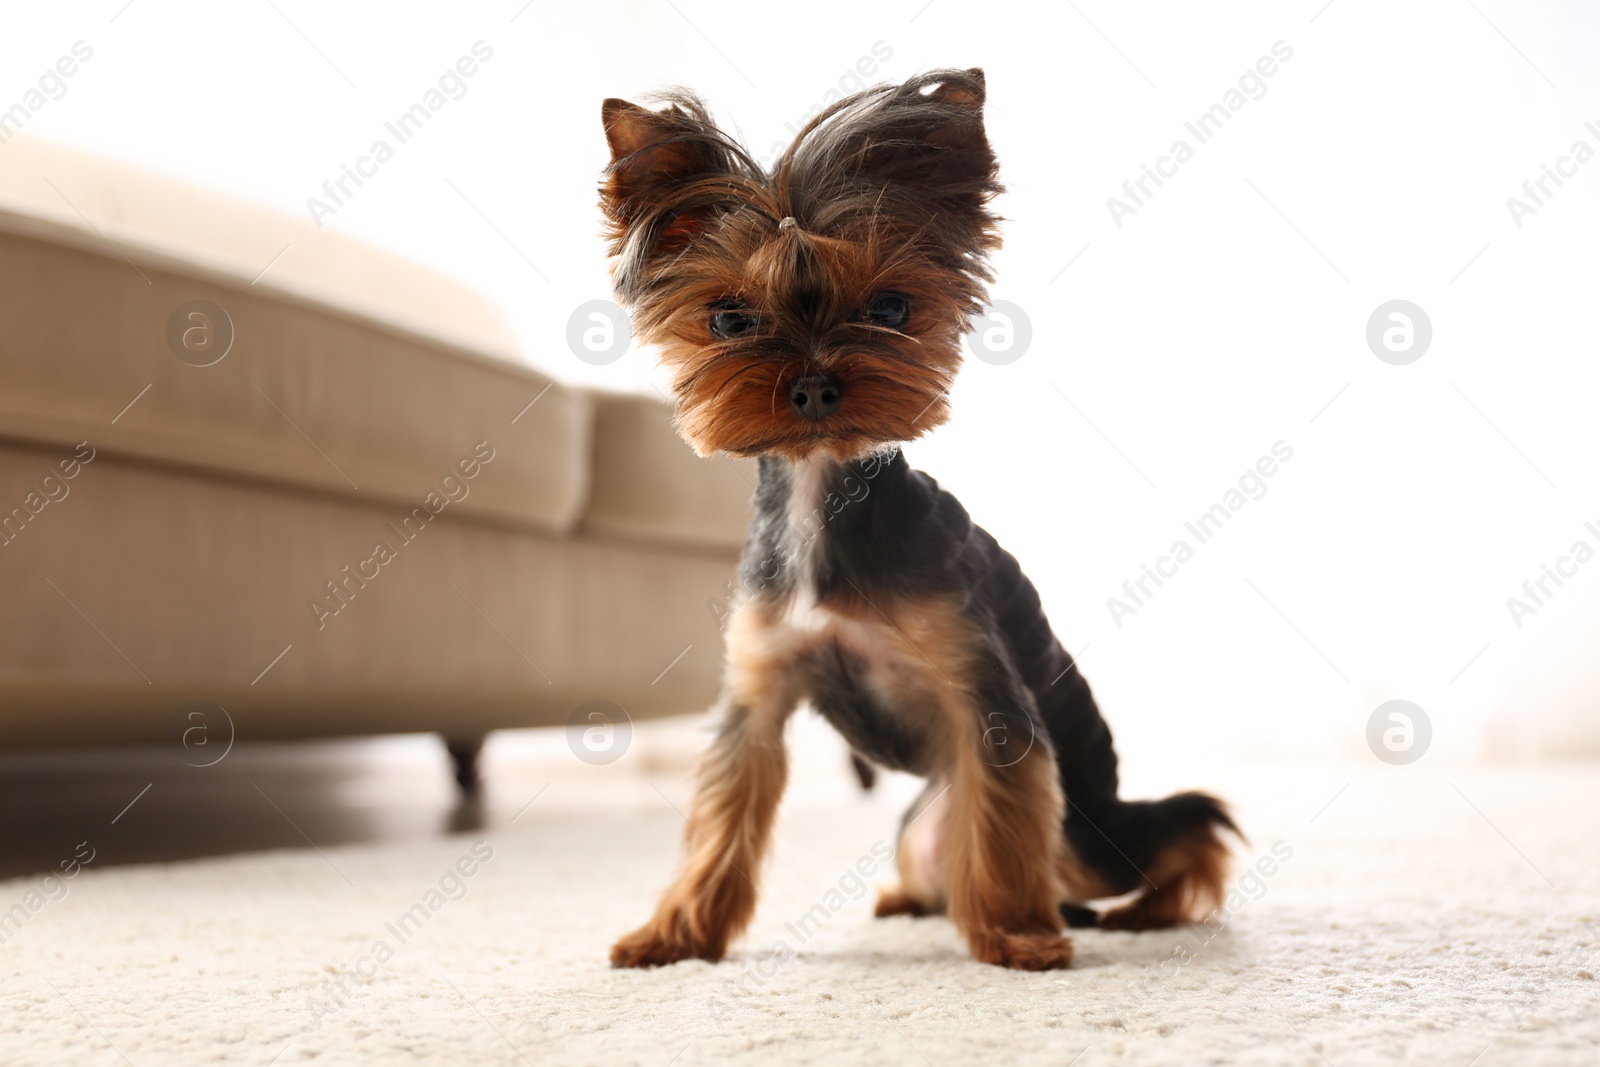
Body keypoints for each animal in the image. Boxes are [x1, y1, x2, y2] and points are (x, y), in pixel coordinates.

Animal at [601, 64, 1235, 966]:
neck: (820, 498)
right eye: (729, 318)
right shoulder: (757, 696)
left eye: (891, 309)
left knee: (1177, 833)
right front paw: (675, 932)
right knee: (940, 858)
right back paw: (908, 898)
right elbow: (722, 819)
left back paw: (1142, 910)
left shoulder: (985, 696)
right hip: (921, 822)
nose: (815, 384)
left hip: (1087, 832)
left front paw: (1013, 934)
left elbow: (1002, 815)